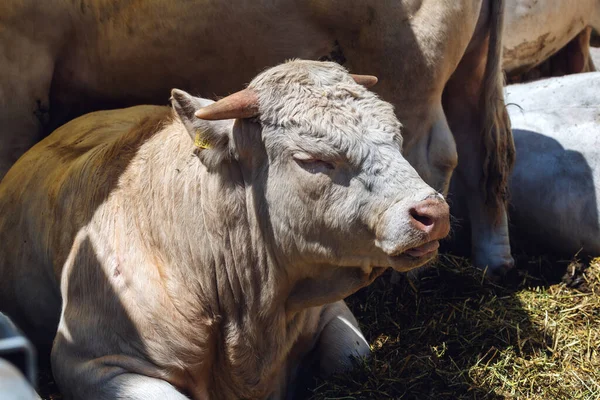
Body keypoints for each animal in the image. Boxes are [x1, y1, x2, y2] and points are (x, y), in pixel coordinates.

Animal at [0, 0, 516, 272]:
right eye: (313, 159)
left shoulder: (22, 62)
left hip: (412, 70)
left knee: (438, 156)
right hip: (466, 67)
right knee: (480, 153)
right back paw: (493, 260)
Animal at [0, 60, 450, 400]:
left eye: (396, 136)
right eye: (312, 158)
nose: (433, 212)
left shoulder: (332, 311)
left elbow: (354, 356)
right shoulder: (87, 360)